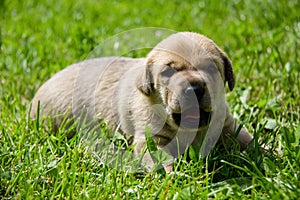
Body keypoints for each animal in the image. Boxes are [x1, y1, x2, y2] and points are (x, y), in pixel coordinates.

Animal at [30, 31, 252, 172]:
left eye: (211, 68)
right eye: (168, 72)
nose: (194, 89)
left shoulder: (226, 124)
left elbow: (247, 140)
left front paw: (260, 152)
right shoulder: (150, 138)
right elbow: (161, 158)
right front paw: (173, 176)